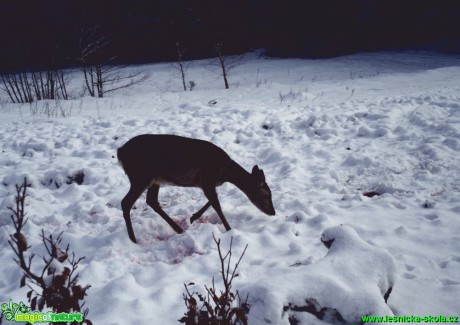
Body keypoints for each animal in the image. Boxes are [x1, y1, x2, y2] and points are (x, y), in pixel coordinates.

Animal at [119, 133, 276, 242]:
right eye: (267, 194)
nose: (273, 212)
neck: (225, 173)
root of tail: (119, 152)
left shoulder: (207, 183)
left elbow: (212, 201)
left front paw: (193, 217)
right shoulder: (207, 180)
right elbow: (216, 204)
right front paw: (229, 229)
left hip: (155, 180)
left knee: (151, 200)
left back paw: (178, 229)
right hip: (140, 177)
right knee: (126, 202)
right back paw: (133, 240)